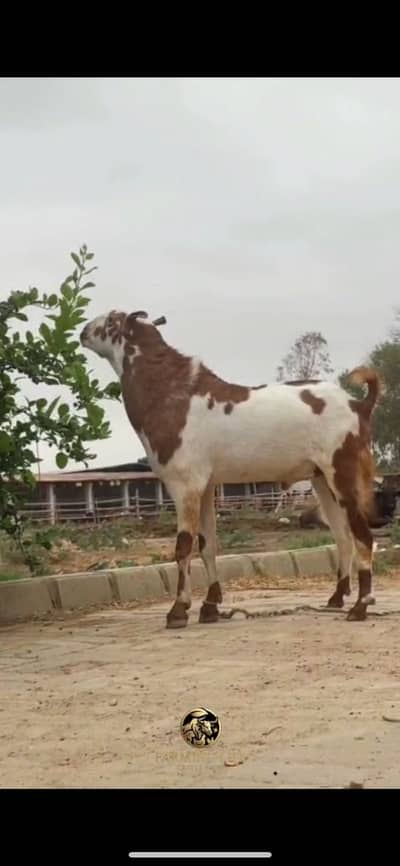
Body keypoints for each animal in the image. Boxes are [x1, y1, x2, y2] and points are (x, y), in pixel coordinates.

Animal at [80, 310, 382, 627]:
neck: (173, 393)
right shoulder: (205, 487)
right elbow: (207, 545)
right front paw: (210, 607)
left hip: (343, 472)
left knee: (363, 537)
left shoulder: (184, 485)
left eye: (111, 322)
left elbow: (183, 546)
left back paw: (360, 606)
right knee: (343, 537)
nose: (83, 333)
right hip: (322, 480)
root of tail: (358, 405)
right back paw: (337, 598)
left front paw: (179, 609)